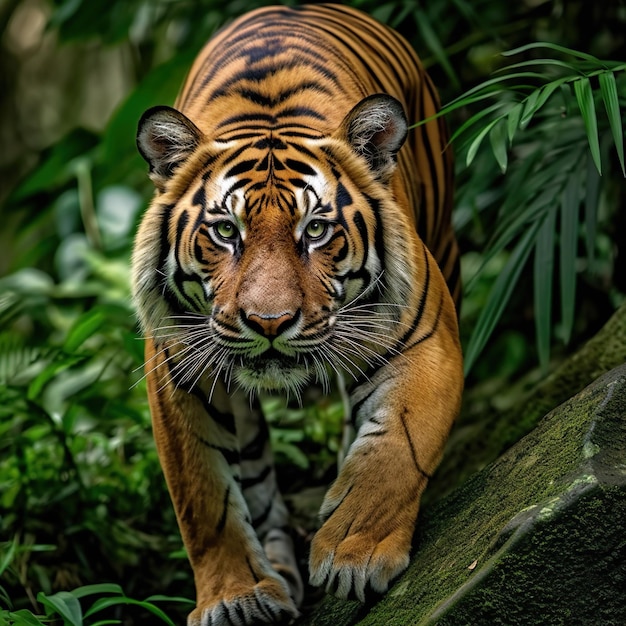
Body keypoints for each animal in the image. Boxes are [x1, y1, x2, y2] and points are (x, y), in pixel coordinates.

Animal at [132, 2, 460, 620]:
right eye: (225, 231)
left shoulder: (425, 338)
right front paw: (234, 597)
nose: (269, 323)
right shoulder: (178, 376)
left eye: (315, 230)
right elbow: (204, 502)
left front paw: (355, 555)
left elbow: (395, 450)